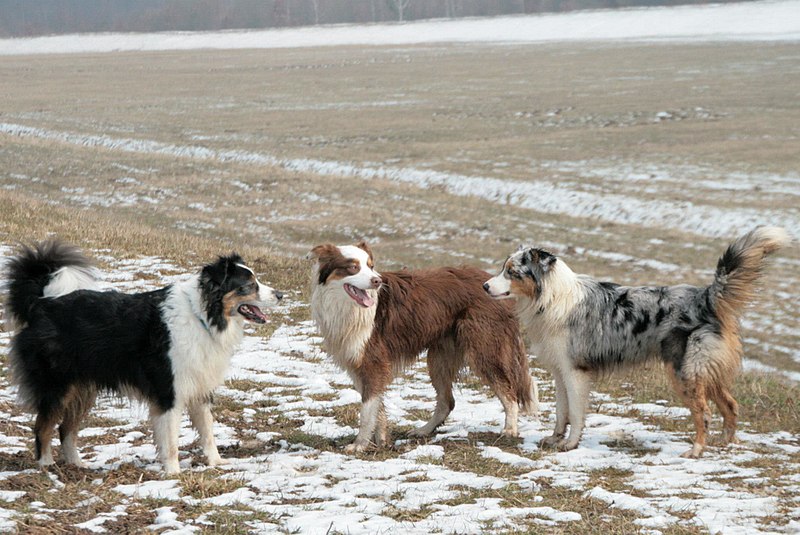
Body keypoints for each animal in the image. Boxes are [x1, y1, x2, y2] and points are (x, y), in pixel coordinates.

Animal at [3, 241, 282, 476]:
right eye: (248, 285)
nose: (280, 295)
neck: (202, 315)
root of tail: (41, 305)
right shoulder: (169, 392)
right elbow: (170, 440)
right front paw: (173, 473)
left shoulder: (199, 387)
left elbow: (208, 431)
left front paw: (216, 463)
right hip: (57, 386)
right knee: (43, 426)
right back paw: (47, 465)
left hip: (83, 387)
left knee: (66, 429)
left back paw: (77, 465)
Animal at [306, 243, 536, 452]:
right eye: (353, 267)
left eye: (370, 266)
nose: (377, 281)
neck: (349, 308)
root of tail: (493, 283)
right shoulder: (358, 364)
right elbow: (377, 407)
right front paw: (382, 440)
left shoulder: (373, 362)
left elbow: (366, 411)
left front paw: (360, 445)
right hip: (440, 357)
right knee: (447, 401)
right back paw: (424, 430)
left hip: (483, 350)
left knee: (509, 393)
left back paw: (509, 430)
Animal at [484, 228, 792, 458]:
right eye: (503, 268)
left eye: (512, 272)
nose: (485, 286)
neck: (549, 298)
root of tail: (705, 297)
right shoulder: (560, 371)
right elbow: (562, 411)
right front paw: (554, 438)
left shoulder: (576, 372)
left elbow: (577, 414)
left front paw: (570, 445)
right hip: (704, 371)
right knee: (730, 404)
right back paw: (724, 444)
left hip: (684, 372)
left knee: (704, 413)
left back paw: (696, 451)